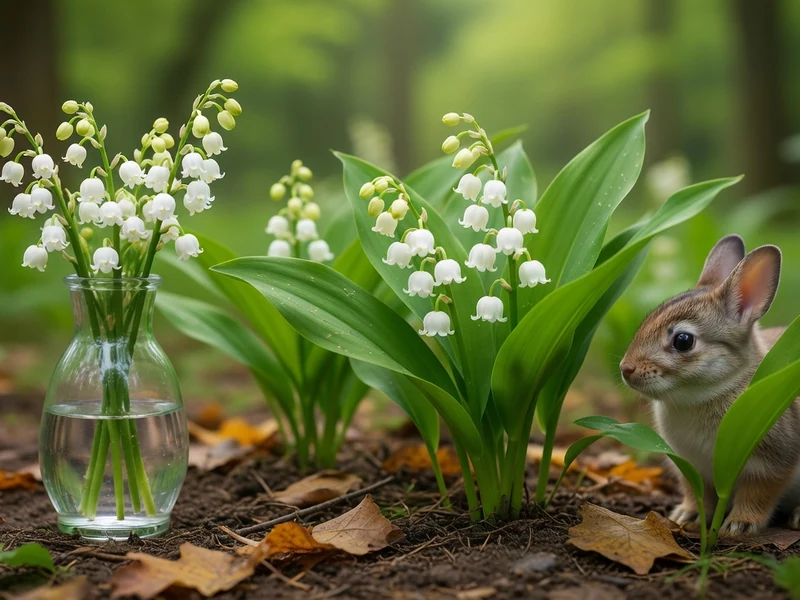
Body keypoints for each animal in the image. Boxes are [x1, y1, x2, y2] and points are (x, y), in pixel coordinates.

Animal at [619, 234, 800, 537]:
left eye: (683, 341)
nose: (626, 369)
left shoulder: (772, 462)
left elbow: (759, 492)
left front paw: (739, 524)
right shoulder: (691, 466)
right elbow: (698, 494)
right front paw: (687, 515)